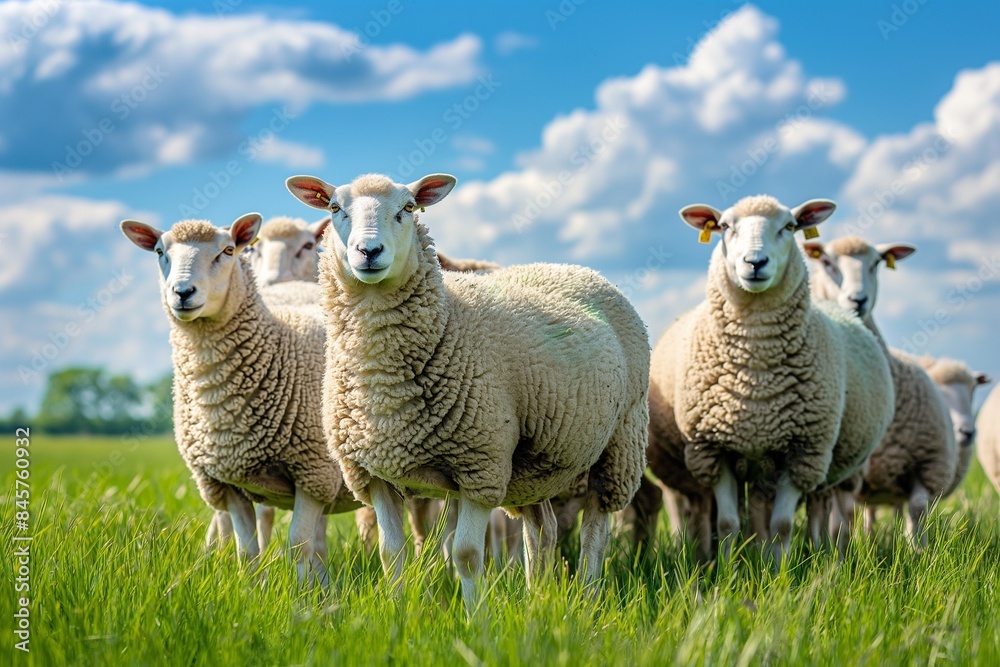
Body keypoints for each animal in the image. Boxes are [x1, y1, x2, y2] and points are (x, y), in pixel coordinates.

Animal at [120, 214, 361, 586]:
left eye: (228, 250)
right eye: (160, 252)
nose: (182, 292)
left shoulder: (314, 473)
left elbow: (299, 544)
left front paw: (304, 597)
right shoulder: (227, 482)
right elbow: (247, 550)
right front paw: (253, 591)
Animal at [286, 171, 649, 611]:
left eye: (408, 208)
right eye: (335, 208)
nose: (369, 251)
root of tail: (571, 268)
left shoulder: (481, 464)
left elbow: (467, 554)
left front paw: (477, 618)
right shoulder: (374, 474)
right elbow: (392, 554)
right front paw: (399, 611)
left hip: (621, 440)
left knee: (596, 531)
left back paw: (589, 595)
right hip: (535, 465)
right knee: (541, 529)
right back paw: (536, 599)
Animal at [643, 196, 894, 562]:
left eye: (789, 226)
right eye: (724, 227)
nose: (755, 262)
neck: (756, 372)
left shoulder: (803, 452)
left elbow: (783, 526)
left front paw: (779, 572)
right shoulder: (714, 448)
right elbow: (728, 523)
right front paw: (728, 569)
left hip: (831, 468)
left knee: (823, 512)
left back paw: (824, 557)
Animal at [804, 237, 956, 547]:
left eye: (875, 263)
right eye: (826, 262)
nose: (857, 300)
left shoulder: (926, 467)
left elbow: (917, 510)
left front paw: (917, 553)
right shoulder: (847, 475)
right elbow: (841, 522)